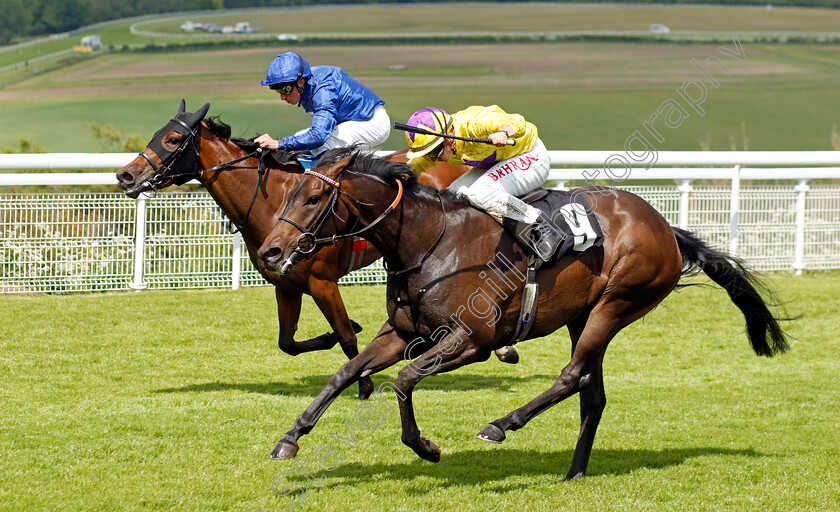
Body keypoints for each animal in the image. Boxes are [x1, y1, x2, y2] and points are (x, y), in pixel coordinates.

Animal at [112, 101, 470, 400]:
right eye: (156, 135)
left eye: (173, 139)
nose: (125, 174)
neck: (273, 202)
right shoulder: (285, 284)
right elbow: (288, 343)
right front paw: (333, 338)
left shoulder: (322, 282)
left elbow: (347, 337)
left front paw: (363, 384)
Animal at [254, 147, 788, 480]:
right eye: (287, 193)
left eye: (315, 197)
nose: (271, 251)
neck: (427, 241)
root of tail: (663, 226)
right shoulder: (402, 333)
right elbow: (345, 373)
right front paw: (291, 438)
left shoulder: (471, 341)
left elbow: (404, 381)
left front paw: (425, 446)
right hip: (583, 315)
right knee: (591, 393)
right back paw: (574, 472)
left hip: (616, 304)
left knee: (571, 377)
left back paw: (501, 424)